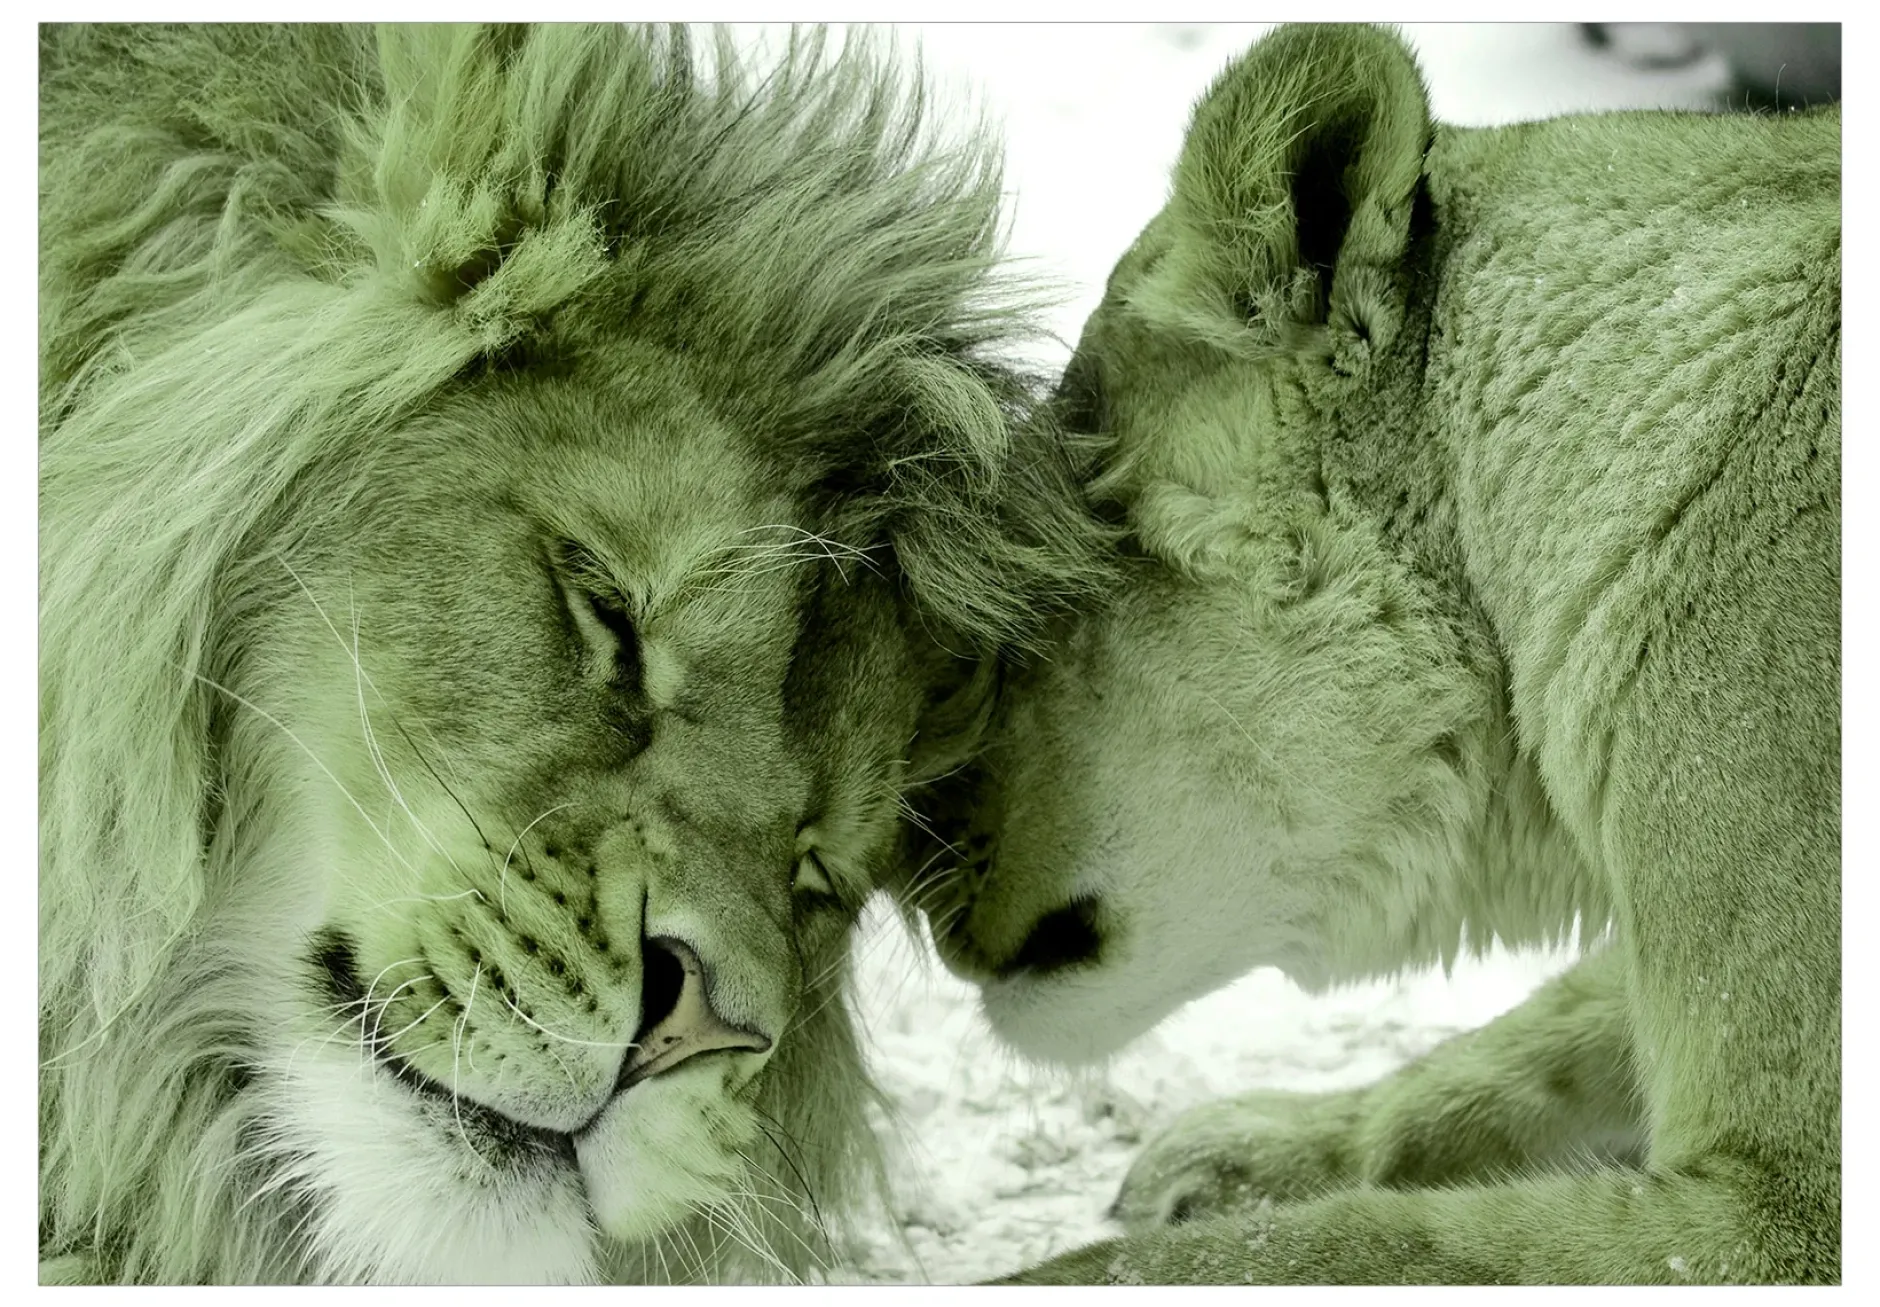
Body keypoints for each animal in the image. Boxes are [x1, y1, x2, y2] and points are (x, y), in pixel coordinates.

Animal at [914, 23, 1839, 1284]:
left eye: (1023, 606)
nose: (903, 867)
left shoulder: (1782, 1211)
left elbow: (1344, 1244)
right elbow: (1520, 1044)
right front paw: (1242, 1150)